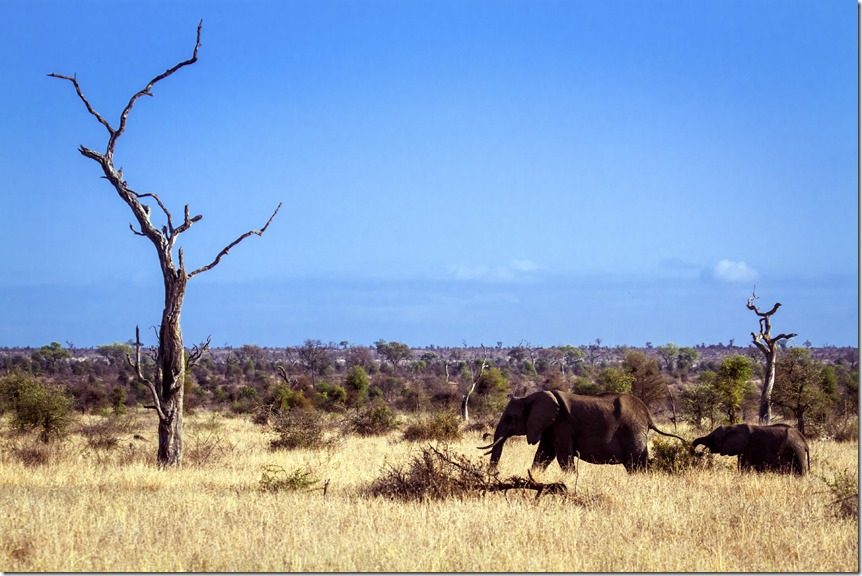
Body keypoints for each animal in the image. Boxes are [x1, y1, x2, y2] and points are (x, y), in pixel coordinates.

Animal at [476, 392, 684, 472]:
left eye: (510, 418)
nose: (495, 474)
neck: (530, 397)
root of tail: (648, 417)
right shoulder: (550, 426)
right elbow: (543, 455)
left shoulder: (561, 424)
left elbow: (563, 457)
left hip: (633, 432)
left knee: (636, 464)